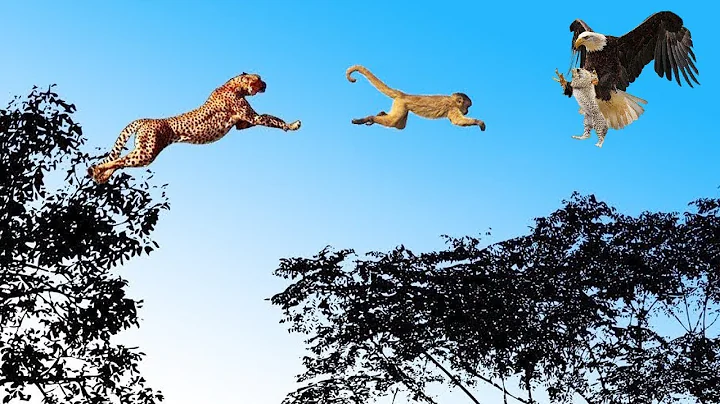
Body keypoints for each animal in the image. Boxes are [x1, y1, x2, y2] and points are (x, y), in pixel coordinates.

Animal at [88, 72, 301, 184]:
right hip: (146, 152)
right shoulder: (252, 118)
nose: (266, 84)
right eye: (258, 78)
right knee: (118, 160)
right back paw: (97, 170)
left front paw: (290, 124)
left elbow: (269, 118)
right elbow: (272, 119)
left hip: (143, 151)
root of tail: (146, 119)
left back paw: (99, 175)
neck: (233, 85)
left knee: (119, 162)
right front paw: (292, 125)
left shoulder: (243, 124)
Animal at [346, 65, 486, 131]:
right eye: (467, 106)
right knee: (393, 122)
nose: (467, 111)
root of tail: (404, 95)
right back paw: (369, 118)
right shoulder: (452, 108)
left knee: (399, 125)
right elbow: (457, 121)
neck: (452, 100)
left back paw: (380, 114)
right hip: (401, 104)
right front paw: (479, 122)